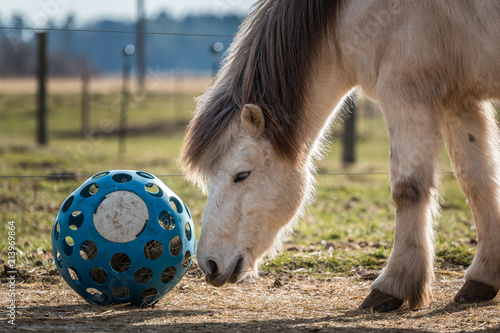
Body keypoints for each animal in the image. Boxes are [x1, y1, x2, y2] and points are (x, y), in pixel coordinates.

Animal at [181, 0, 500, 312]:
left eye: (242, 174)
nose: (209, 264)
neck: (344, 15)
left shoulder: (406, 95)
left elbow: (407, 189)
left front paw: (392, 285)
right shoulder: (459, 102)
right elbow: (477, 183)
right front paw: (482, 279)